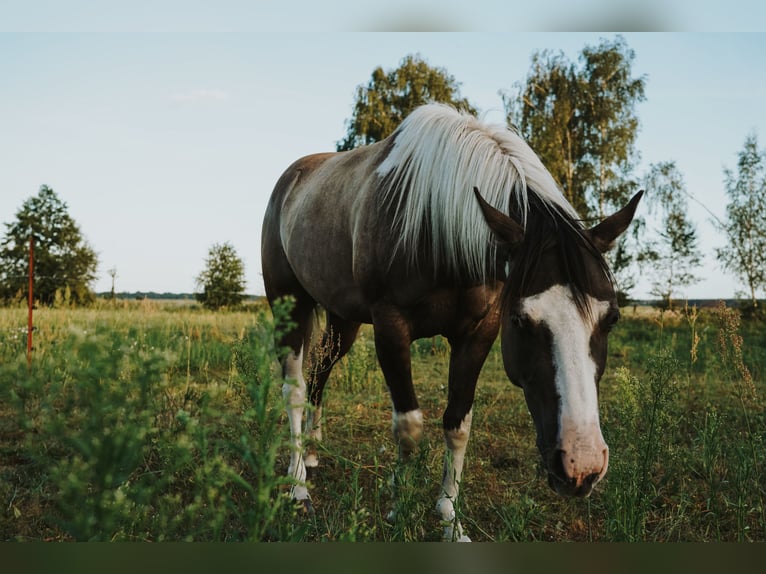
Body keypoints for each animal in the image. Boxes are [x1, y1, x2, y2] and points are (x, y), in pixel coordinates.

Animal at [261, 103, 643, 541]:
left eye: (611, 319)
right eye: (521, 320)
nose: (581, 467)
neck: (436, 229)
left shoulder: (477, 334)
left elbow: (458, 423)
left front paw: (450, 517)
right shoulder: (391, 326)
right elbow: (409, 426)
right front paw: (399, 508)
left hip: (343, 319)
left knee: (319, 372)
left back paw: (311, 454)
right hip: (290, 306)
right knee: (294, 387)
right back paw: (297, 486)